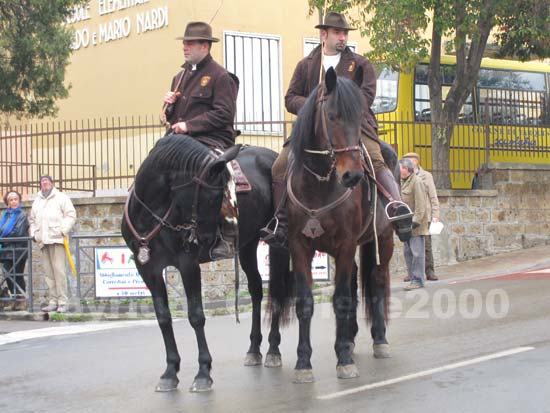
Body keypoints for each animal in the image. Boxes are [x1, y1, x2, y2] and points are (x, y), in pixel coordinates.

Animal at [120, 134, 284, 392]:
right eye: (213, 195)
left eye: (224, 193)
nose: (208, 239)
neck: (151, 213)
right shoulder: (147, 268)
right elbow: (163, 317)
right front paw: (170, 371)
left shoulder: (188, 265)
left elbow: (196, 316)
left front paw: (203, 372)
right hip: (247, 245)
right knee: (256, 288)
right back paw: (254, 349)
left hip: (275, 241)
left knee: (275, 290)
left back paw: (273, 349)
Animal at [270, 67, 404, 380]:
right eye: (332, 116)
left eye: (359, 117)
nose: (352, 176)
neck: (319, 183)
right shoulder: (299, 246)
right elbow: (306, 302)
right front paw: (303, 362)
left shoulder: (345, 245)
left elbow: (342, 298)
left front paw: (343, 359)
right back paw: (351, 338)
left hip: (384, 240)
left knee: (377, 282)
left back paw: (379, 340)